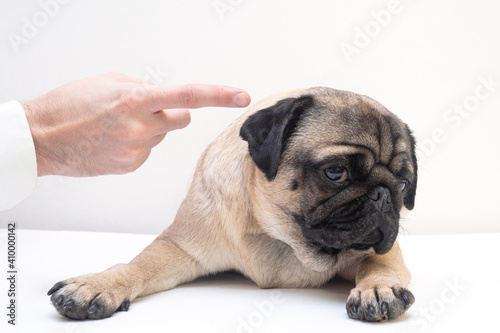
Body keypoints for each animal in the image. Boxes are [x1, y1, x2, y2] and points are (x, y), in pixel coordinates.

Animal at [48, 87, 418, 320]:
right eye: (335, 172)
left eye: (403, 184)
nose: (383, 195)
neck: (284, 241)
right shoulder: (179, 247)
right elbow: (138, 265)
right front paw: (100, 285)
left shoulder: (383, 250)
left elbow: (377, 263)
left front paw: (377, 289)